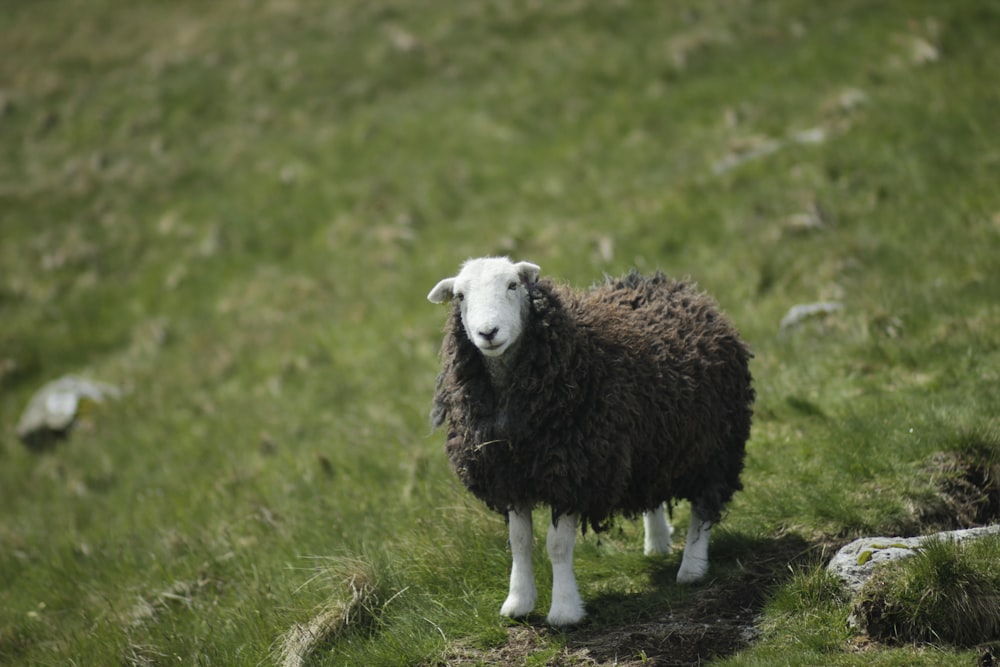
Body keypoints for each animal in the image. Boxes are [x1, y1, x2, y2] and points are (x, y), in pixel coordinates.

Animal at [426, 258, 752, 628]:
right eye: (460, 296)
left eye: (513, 285)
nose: (488, 333)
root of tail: (674, 287)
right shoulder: (510, 477)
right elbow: (520, 542)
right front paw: (518, 602)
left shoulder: (575, 474)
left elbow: (556, 546)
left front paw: (565, 610)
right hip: (650, 444)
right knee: (653, 489)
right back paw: (657, 542)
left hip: (715, 445)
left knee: (704, 506)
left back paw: (692, 568)